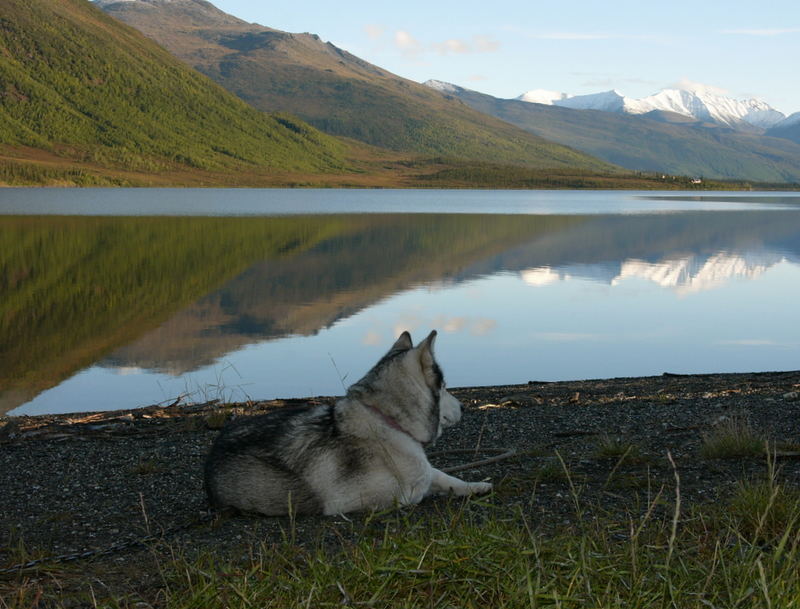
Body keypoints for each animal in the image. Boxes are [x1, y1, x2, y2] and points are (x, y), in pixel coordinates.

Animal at [203, 330, 490, 516]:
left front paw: (473, 486)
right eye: (443, 386)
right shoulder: (357, 500)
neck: (385, 420)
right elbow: (417, 488)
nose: (464, 407)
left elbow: (440, 475)